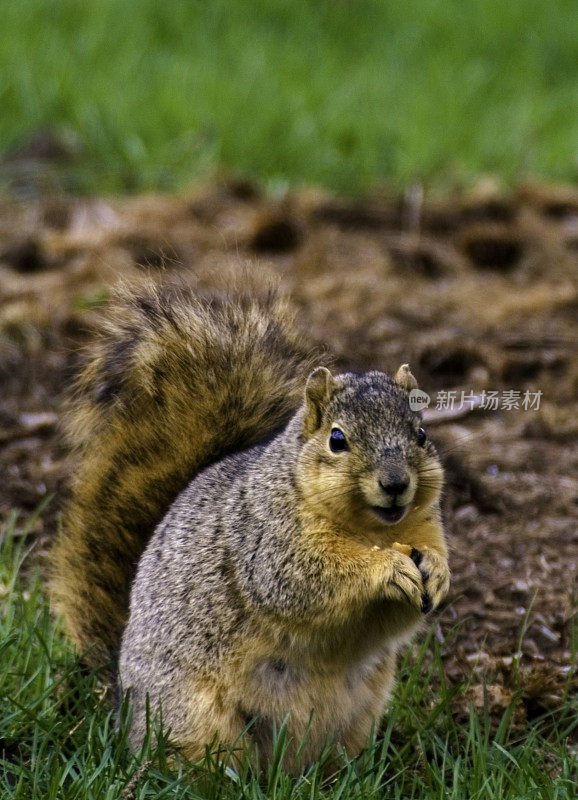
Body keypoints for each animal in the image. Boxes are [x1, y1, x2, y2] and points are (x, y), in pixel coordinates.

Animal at [49, 280, 448, 768]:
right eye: (337, 440)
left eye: (422, 435)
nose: (395, 484)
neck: (374, 531)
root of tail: (124, 707)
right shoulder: (267, 541)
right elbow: (305, 579)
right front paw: (386, 569)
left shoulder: (425, 527)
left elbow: (400, 613)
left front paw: (437, 571)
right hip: (196, 720)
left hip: (358, 718)